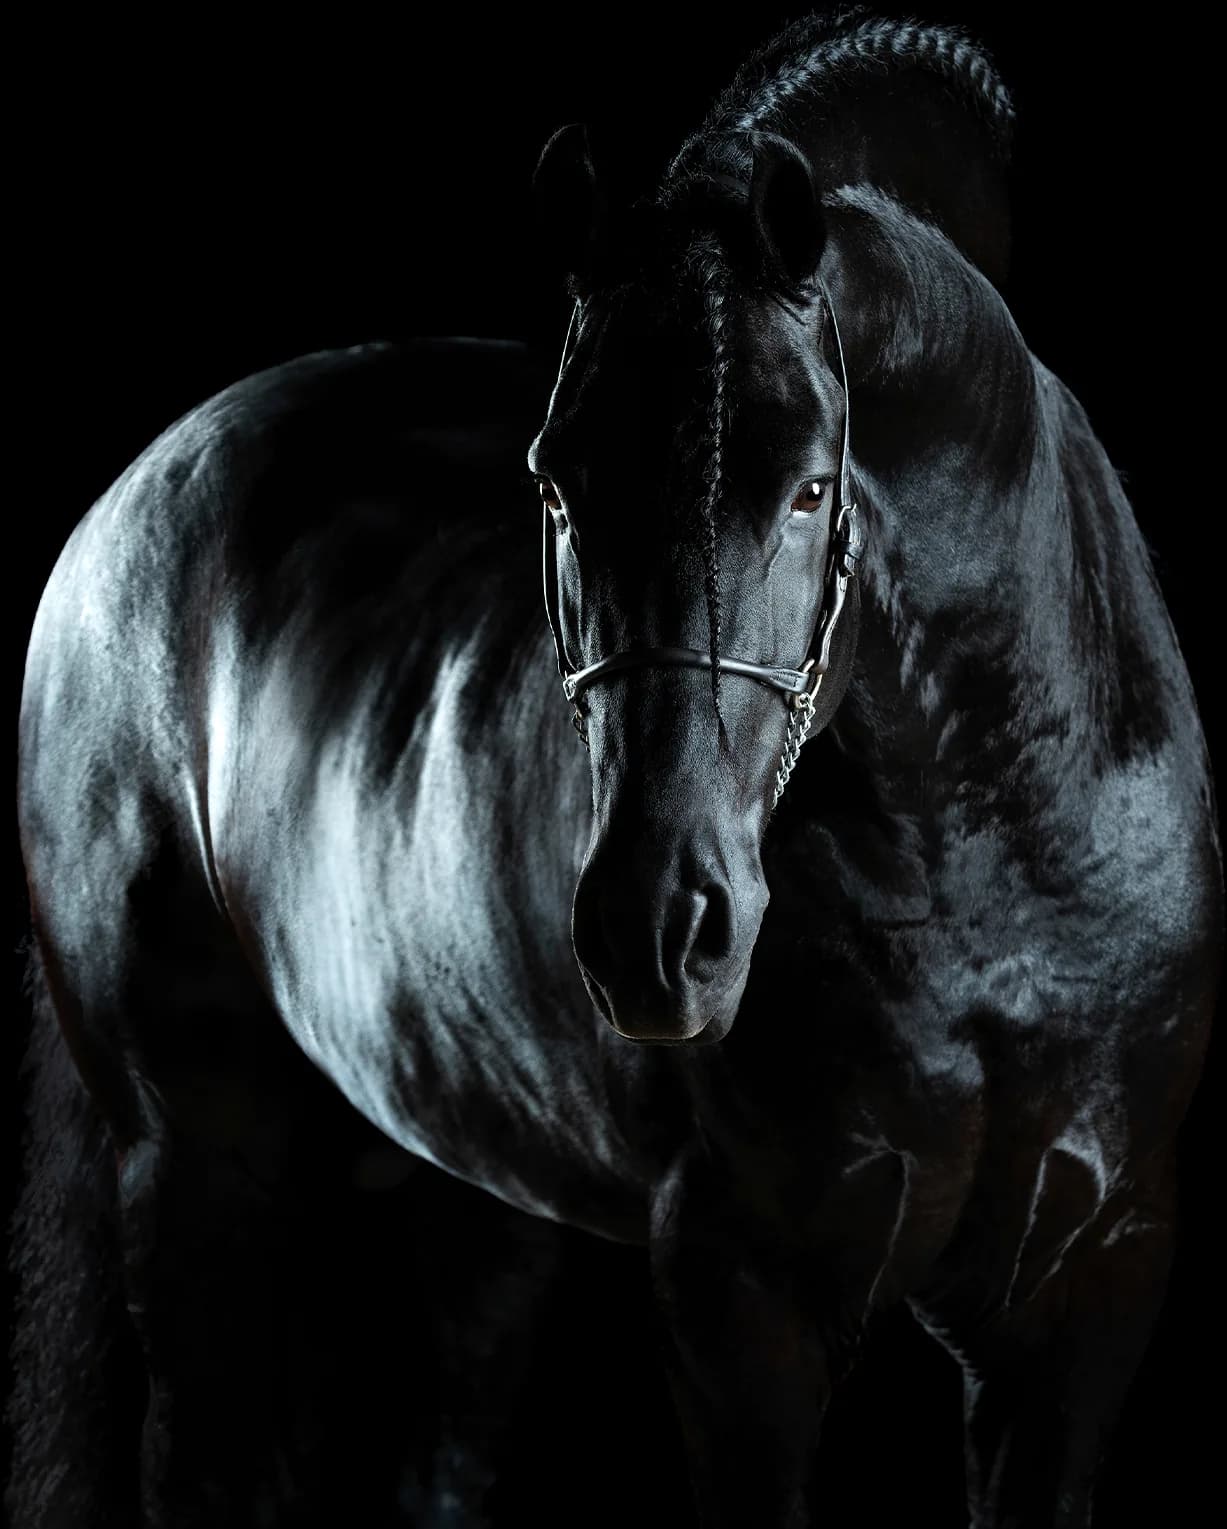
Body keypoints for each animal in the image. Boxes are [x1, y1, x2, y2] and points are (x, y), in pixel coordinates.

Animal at [12, 9, 1221, 1527]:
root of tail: (123, 504)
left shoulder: (1090, 1289)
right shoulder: (738, 1296)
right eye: (555, 477)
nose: (655, 930)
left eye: (811, 485)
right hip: (194, 1161)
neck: (985, 869)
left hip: (464, 1183)